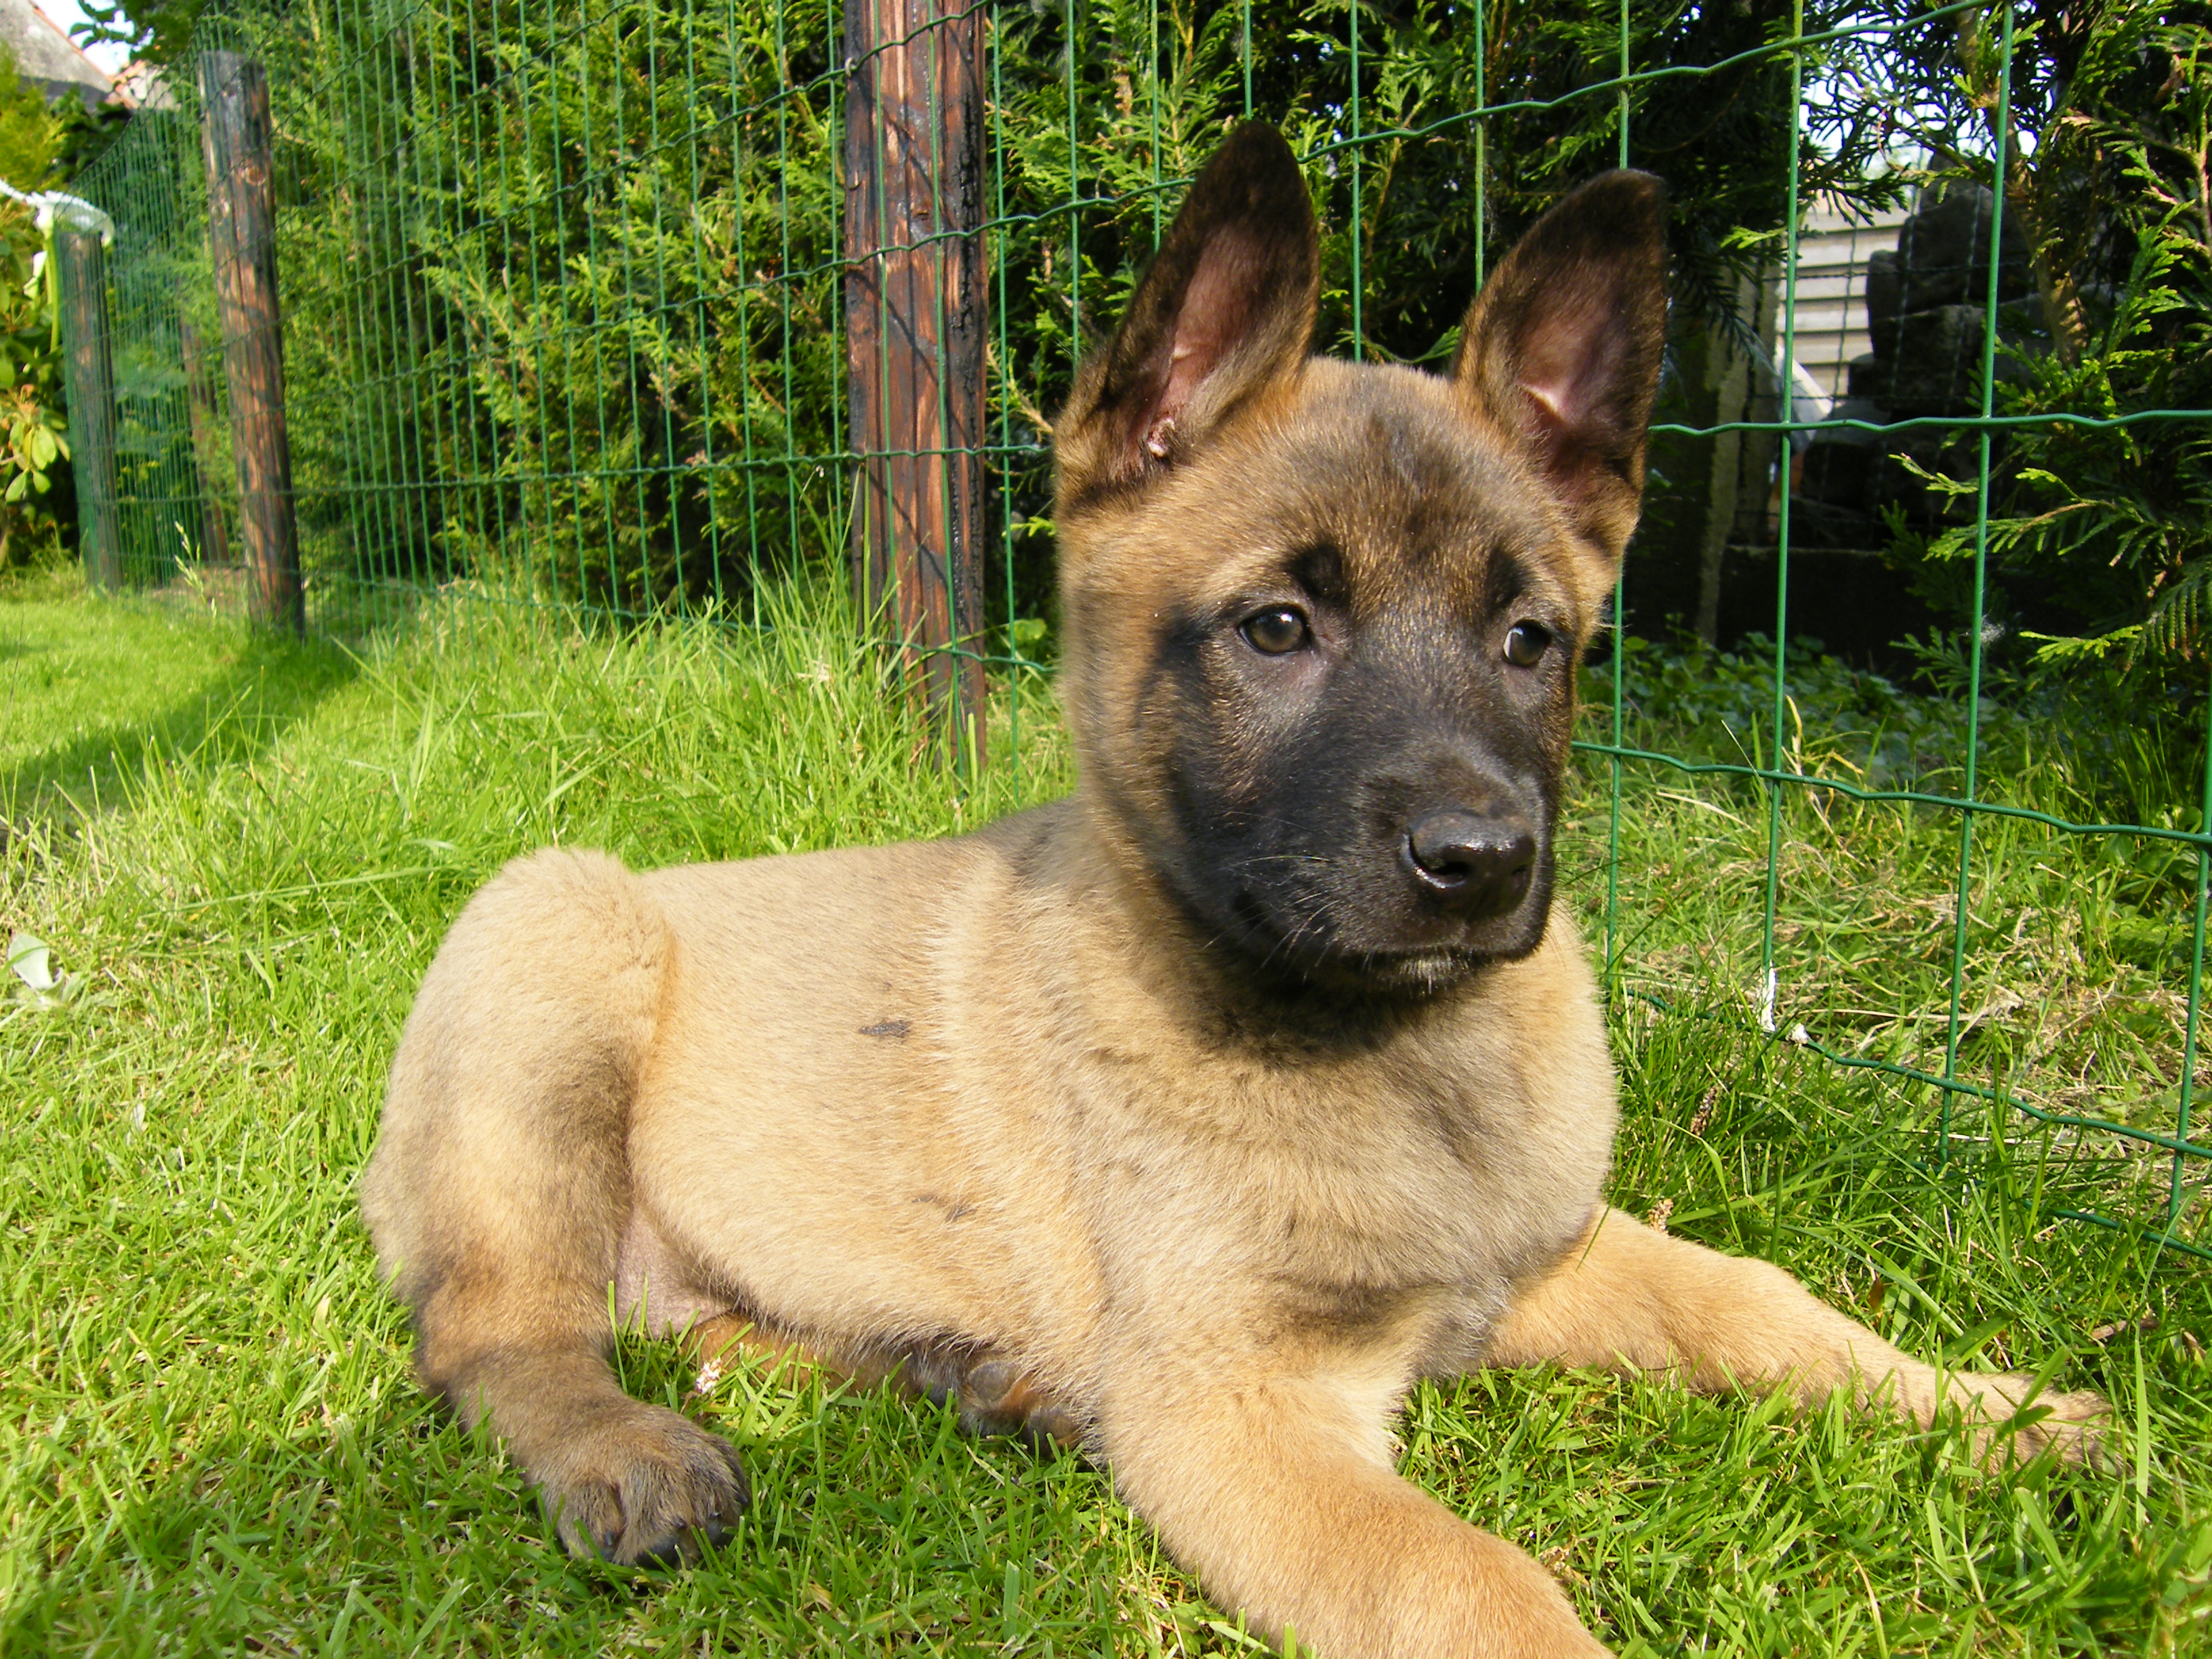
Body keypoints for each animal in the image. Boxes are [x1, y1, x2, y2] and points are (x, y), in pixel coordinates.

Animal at [367, 129, 2106, 1659]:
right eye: (1277, 628)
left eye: (1529, 642)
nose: (1483, 862)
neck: (1398, 1056)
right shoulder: (1240, 1411)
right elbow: (1477, 1585)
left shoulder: (1545, 1262)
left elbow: (1755, 1299)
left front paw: (1989, 1408)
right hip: (556, 938)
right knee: (495, 1333)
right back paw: (623, 1450)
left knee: (689, 1326)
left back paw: (962, 1379)